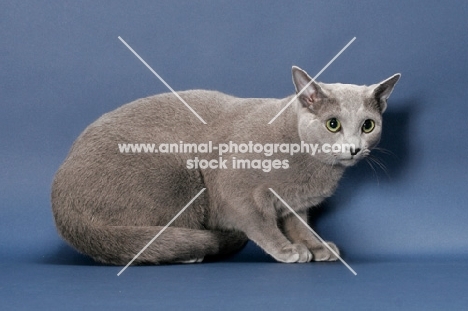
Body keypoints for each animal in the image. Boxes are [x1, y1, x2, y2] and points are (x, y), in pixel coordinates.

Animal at [52, 66, 402, 266]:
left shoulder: (295, 204)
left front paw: (316, 246)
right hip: (180, 171)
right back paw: (189, 253)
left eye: (368, 125)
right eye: (333, 124)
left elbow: (300, 224)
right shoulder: (234, 186)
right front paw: (287, 250)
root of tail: (61, 205)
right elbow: (260, 221)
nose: (354, 148)